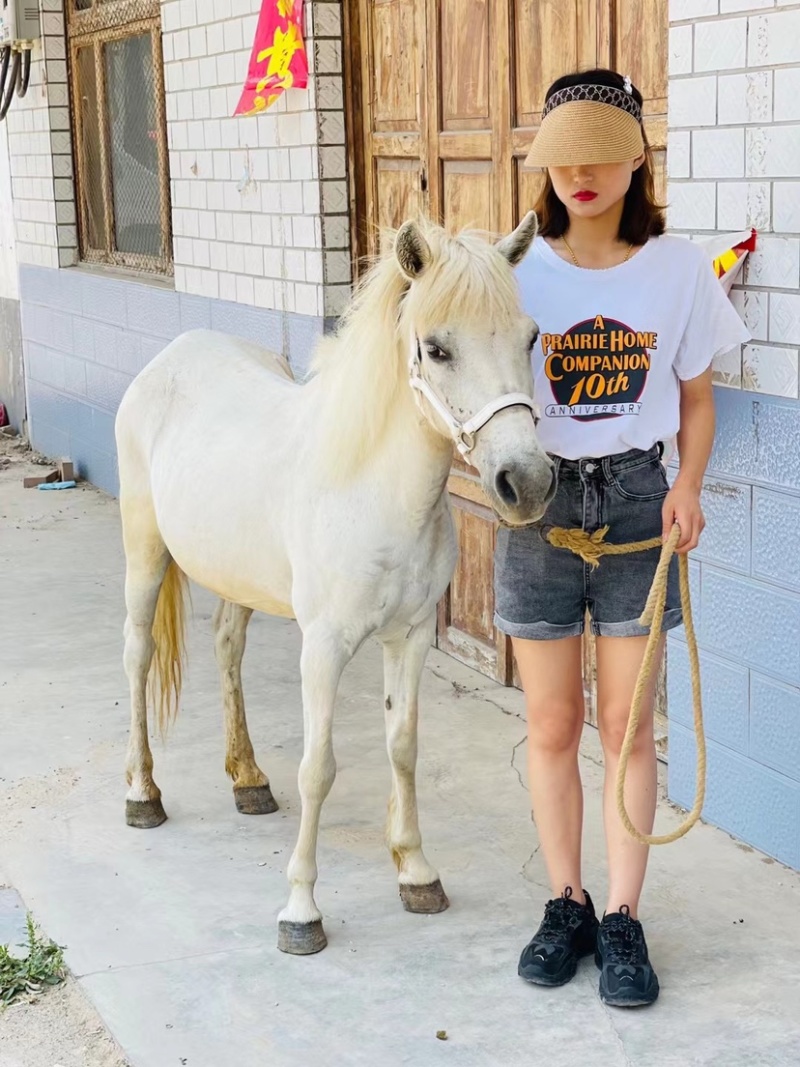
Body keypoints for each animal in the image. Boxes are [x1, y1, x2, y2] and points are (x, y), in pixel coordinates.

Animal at [114, 212, 555, 955]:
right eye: (436, 348)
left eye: (531, 337)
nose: (525, 483)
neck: (372, 491)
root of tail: (168, 359)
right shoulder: (322, 647)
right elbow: (318, 767)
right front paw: (301, 909)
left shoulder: (409, 638)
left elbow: (403, 747)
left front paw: (416, 871)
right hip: (145, 554)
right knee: (138, 654)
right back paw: (143, 795)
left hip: (236, 578)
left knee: (226, 646)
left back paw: (248, 780)